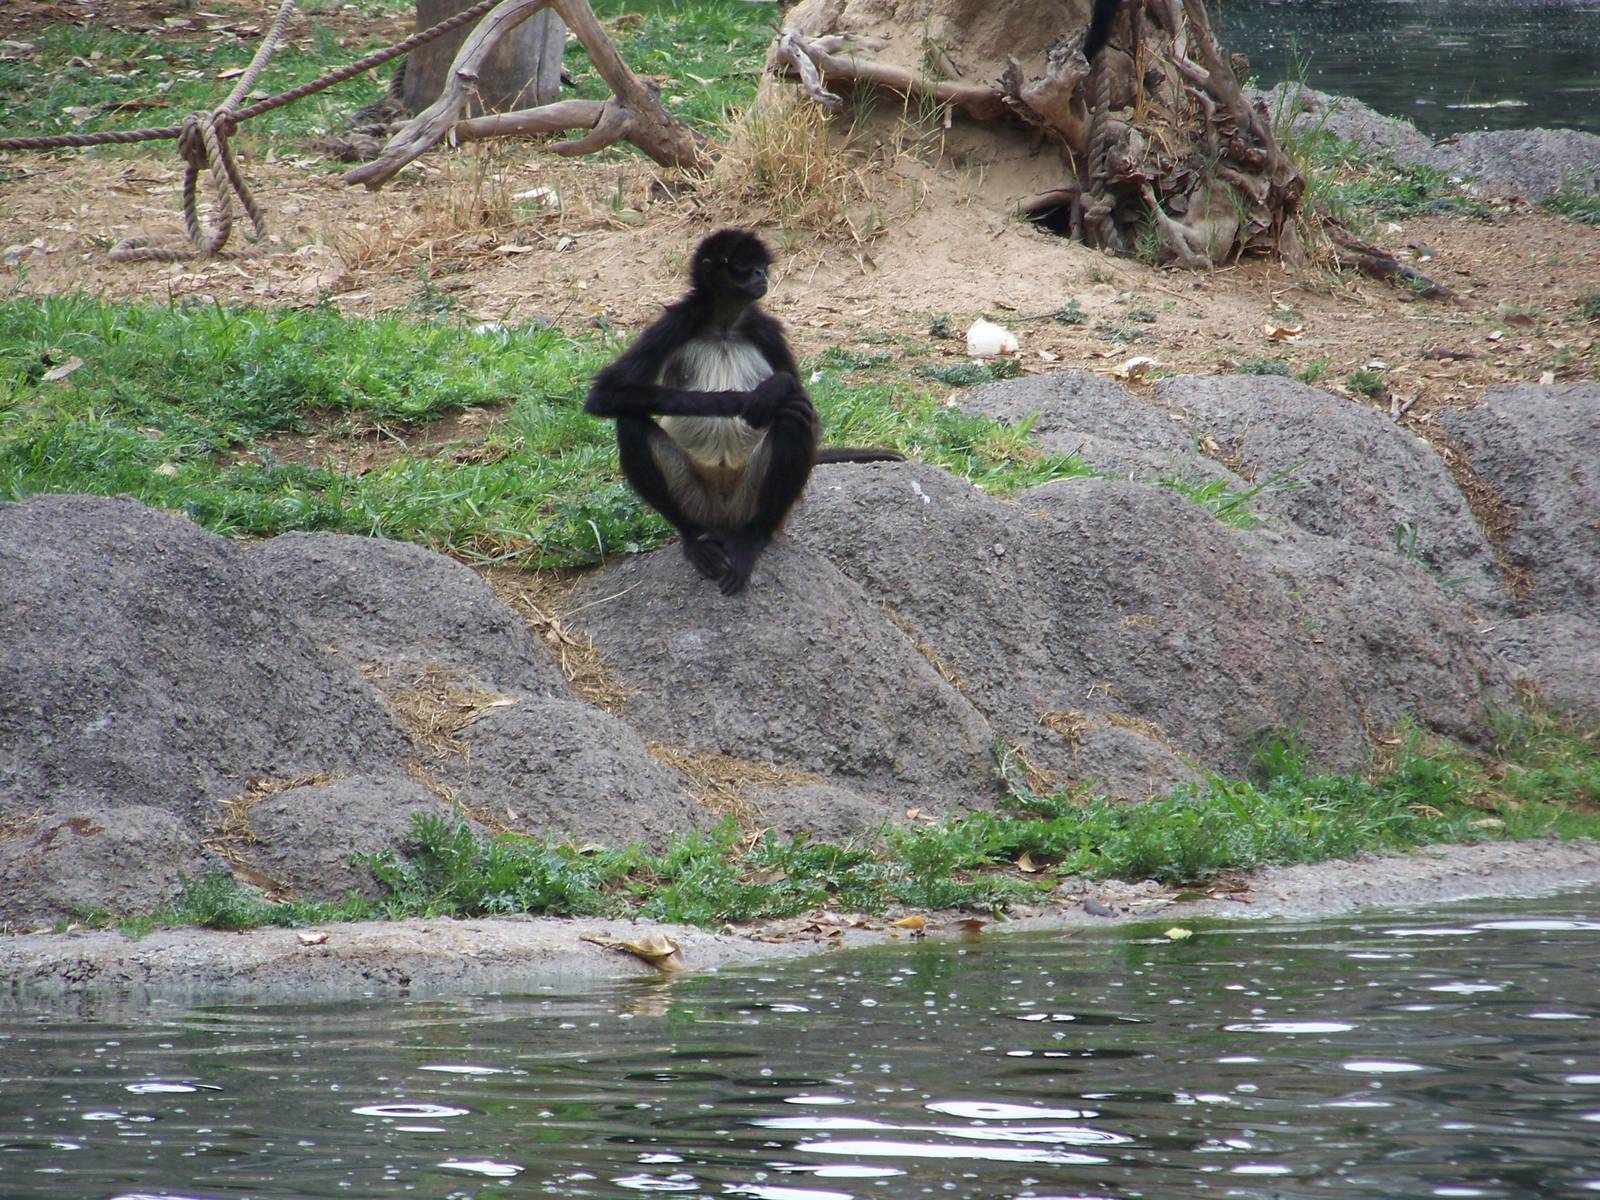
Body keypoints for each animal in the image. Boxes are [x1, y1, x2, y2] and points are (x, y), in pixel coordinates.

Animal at [585, 228, 901, 596]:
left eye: (761, 265)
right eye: (744, 267)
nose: (762, 275)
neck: (725, 325)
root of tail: (724, 518)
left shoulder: (766, 329)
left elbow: (809, 411)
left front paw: (775, 389)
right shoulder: (678, 321)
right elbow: (605, 395)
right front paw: (732, 401)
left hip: (746, 500)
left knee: (794, 418)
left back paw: (753, 537)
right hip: (698, 501)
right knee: (631, 420)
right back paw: (694, 537)